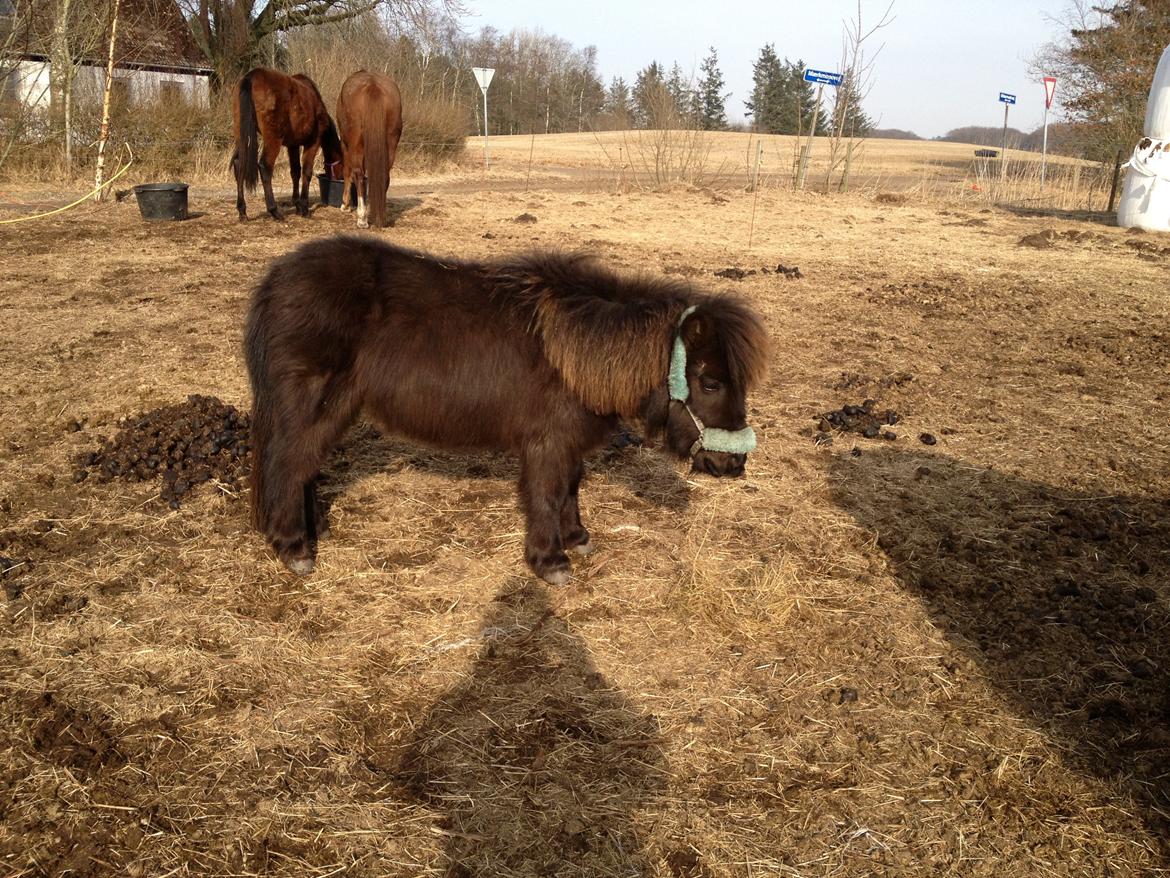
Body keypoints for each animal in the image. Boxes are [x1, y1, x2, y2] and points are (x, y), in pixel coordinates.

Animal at [226, 67, 339, 221]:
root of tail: (252, 76)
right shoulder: (313, 143)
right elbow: (306, 172)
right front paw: (304, 208)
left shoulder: (293, 145)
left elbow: (295, 172)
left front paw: (297, 205)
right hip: (273, 140)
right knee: (265, 167)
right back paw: (274, 211)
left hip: (241, 135)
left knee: (239, 164)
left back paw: (242, 211)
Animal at [243, 237, 772, 587]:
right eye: (710, 382)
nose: (732, 464)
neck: (578, 349)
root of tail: (276, 280)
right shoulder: (548, 443)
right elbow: (548, 493)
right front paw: (551, 562)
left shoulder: (566, 441)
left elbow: (571, 487)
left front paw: (576, 537)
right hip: (316, 405)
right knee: (289, 464)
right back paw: (294, 548)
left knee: (302, 466)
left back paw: (311, 532)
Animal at [336, 70, 404, 228]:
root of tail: (373, 86)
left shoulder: (345, 145)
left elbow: (348, 171)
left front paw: (345, 205)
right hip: (390, 144)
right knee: (384, 175)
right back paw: (376, 214)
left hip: (356, 145)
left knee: (359, 174)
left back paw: (362, 218)